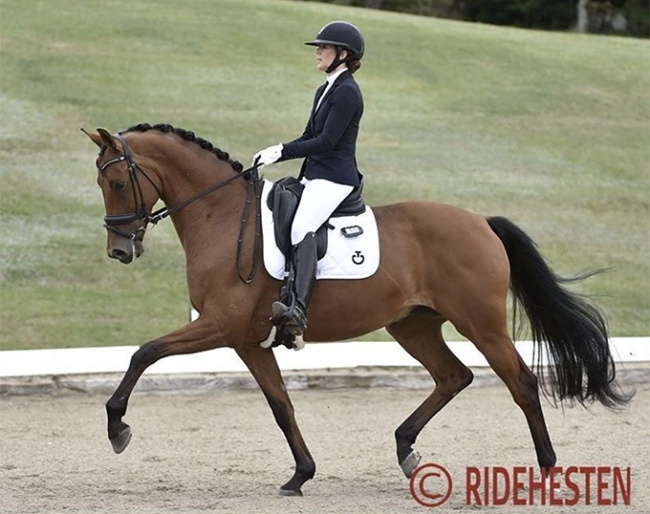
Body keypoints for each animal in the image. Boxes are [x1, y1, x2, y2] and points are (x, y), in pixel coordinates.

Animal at [82, 122, 628, 494]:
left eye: (117, 183)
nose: (119, 251)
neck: (221, 216)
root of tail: (480, 221)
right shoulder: (247, 340)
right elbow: (281, 405)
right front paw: (300, 476)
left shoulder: (220, 326)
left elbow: (144, 352)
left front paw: (117, 427)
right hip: (413, 326)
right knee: (454, 376)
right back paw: (406, 449)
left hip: (481, 323)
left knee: (521, 383)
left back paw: (547, 469)